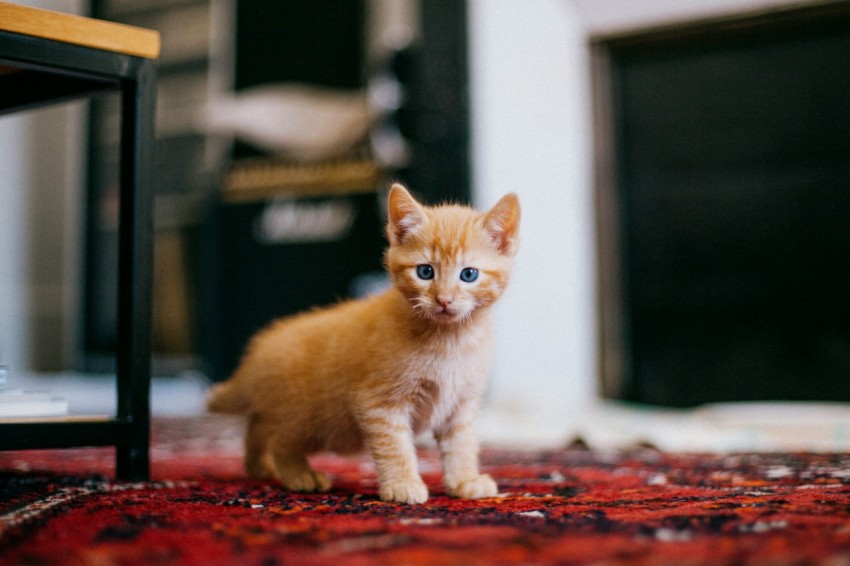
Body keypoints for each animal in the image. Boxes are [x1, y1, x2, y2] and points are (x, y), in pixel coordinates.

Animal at [209, 185, 520, 506]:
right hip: (302, 417)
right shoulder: (379, 402)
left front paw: (464, 480)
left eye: (469, 274)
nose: (443, 299)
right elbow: (395, 447)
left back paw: (258, 466)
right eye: (425, 272)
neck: (450, 340)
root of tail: (259, 351)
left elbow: (462, 443)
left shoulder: (461, 404)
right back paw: (300, 475)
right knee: (280, 440)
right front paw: (402, 484)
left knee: (256, 426)